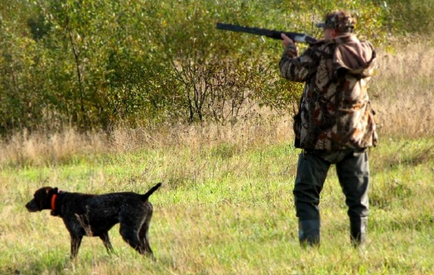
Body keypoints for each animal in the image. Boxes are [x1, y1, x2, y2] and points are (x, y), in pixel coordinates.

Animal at [25, 183, 161, 258]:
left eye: (35, 196)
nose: (26, 205)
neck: (61, 200)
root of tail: (143, 196)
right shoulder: (103, 235)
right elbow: (111, 251)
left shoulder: (75, 235)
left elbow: (72, 256)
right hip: (143, 234)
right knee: (150, 253)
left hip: (128, 233)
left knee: (146, 252)